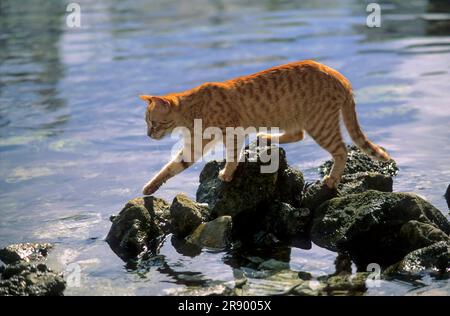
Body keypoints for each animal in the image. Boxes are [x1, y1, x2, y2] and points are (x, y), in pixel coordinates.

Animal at [141, 59, 390, 195]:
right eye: (147, 123)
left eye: (154, 122)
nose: (148, 134)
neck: (192, 110)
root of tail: (339, 76)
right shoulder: (195, 146)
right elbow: (172, 167)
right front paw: (150, 187)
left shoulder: (232, 131)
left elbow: (233, 155)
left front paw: (227, 174)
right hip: (296, 119)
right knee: (297, 135)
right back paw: (267, 137)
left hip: (320, 125)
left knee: (342, 151)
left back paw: (332, 178)